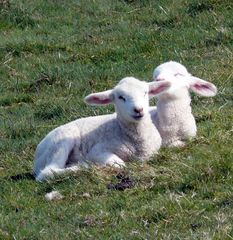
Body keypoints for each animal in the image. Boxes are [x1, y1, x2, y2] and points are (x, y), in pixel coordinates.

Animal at [33, 76, 171, 181]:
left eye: (145, 93)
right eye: (121, 97)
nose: (138, 110)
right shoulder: (97, 151)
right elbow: (120, 164)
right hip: (60, 143)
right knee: (48, 172)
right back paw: (83, 166)